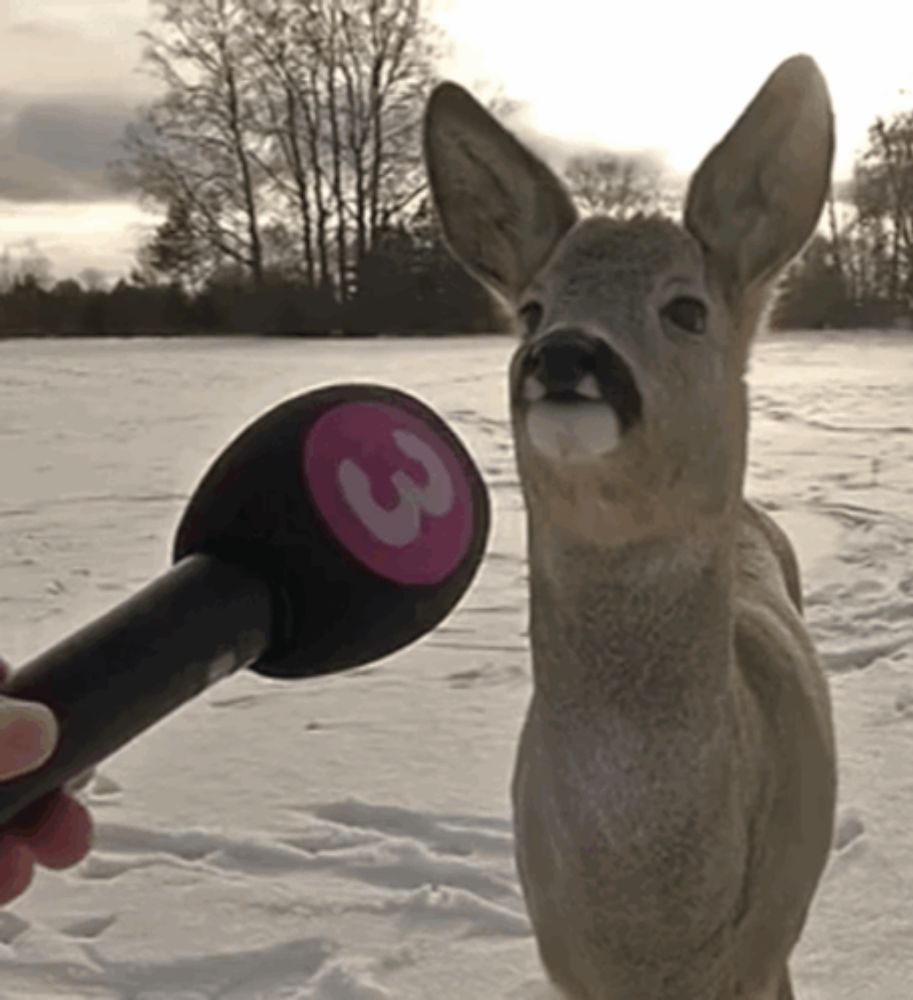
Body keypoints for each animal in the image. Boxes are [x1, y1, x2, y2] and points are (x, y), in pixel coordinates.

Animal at [424, 56, 836, 1000]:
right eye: (530, 310)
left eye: (686, 309)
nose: (565, 355)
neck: (655, 935)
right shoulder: (565, 960)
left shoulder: (766, 949)